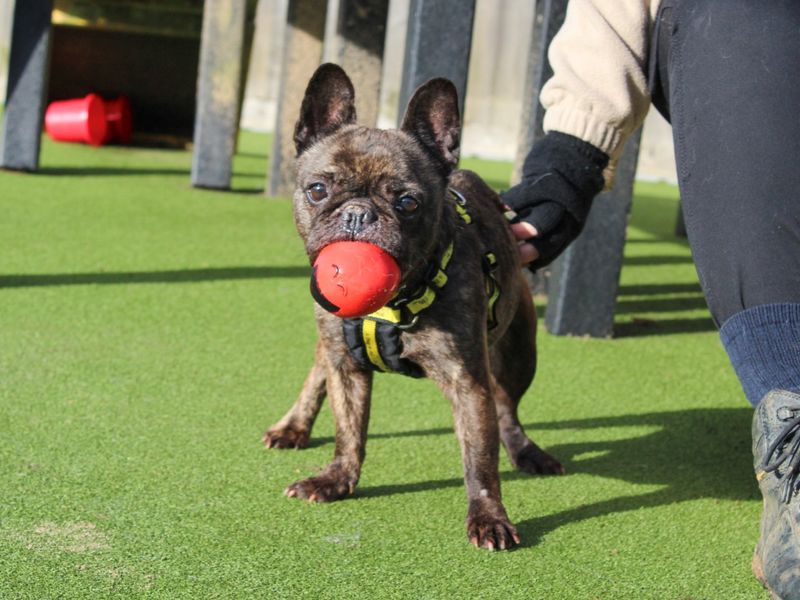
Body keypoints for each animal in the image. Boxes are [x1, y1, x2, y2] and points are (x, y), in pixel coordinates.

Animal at [264, 64, 564, 548]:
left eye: (407, 202)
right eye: (317, 190)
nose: (357, 213)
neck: (392, 305)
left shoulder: (467, 381)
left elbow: (480, 459)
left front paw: (489, 517)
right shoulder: (346, 366)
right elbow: (349, 430)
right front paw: (336, 479)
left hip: (519, 352)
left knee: (508, 410)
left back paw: (527, 452)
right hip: (330, 337)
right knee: (316, 372)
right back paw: (293, 425)